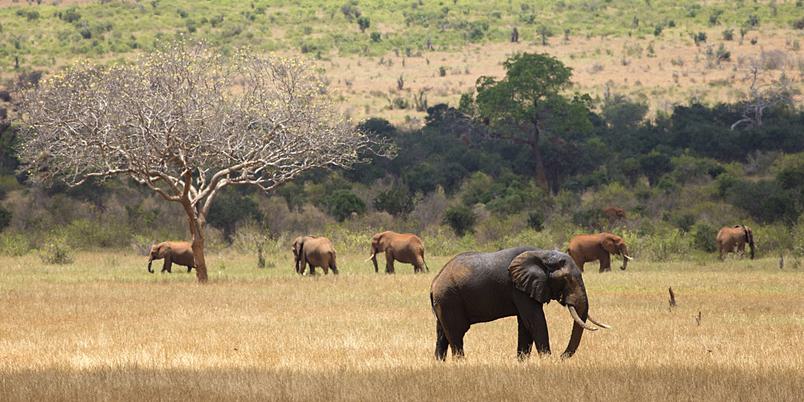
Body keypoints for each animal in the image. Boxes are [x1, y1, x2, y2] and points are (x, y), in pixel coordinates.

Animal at [430, 247, 609, 360]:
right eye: (566, 279)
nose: (561, 357)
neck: (542, 254)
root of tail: (434, 283)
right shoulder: (519, 288)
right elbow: (535, 321)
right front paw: (547, 361)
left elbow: (525, 324)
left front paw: (522, 362)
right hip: (450, 298)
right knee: (456, 333)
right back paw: (461, 363)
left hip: (444, 302)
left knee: (442, 334)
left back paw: (439, 364)